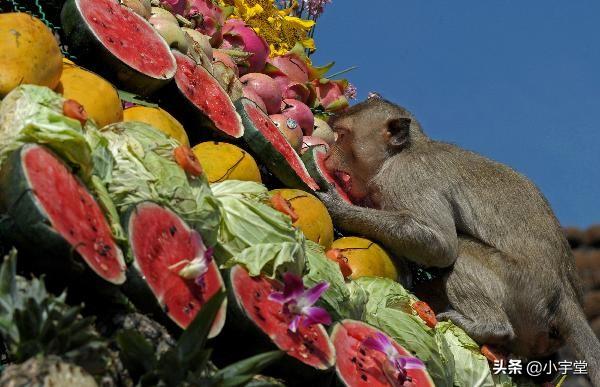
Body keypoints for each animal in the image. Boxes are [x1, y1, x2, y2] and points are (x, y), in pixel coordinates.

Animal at [314, 94, 600, 384]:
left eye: (341, 136)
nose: (328, 155)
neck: (401, 153)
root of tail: (565, 297)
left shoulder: (407, 177)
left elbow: (441, 245)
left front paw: (341, 209)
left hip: (524, 289)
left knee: (461, 252)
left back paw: (489, 327)